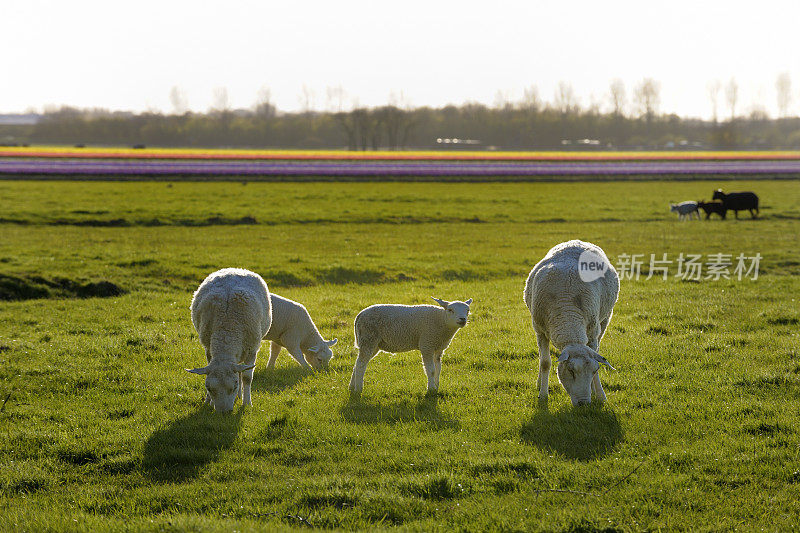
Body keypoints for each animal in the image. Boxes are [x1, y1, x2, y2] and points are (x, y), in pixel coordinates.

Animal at [188, 268, 274, 414]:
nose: (223, 413)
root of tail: (235, 270)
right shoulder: (208, 349)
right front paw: (208, 402)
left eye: (234, 386)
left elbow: (247, 377)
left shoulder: (252, 349)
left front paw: (247, 403)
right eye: (209, 388)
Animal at [524, 241, 620, 408]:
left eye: (595, 370)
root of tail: (577, 241)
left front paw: (600, 395)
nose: (584, 403)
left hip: (605, 319)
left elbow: (595, 356)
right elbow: (545, 362)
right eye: (571, 370)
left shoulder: (592, 332)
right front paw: (543, 395)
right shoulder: (540, 330)